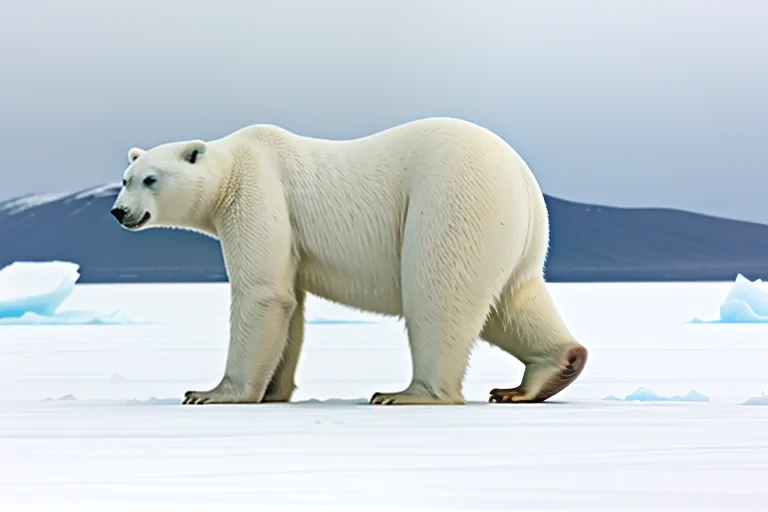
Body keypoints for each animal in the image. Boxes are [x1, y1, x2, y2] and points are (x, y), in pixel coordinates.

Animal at [110, 117, 588, 406]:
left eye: (150, 179)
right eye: (125, 178)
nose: (118, 211)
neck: (233, 163)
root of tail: (522, 178)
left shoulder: (259, 192)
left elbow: (263, 293)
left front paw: (209, 393)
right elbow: (290, 307)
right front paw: (274, 391)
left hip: (452, 196)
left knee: (439, 296)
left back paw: (406, 394)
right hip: (513, 233)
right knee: (513, 301)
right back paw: (543, 375)